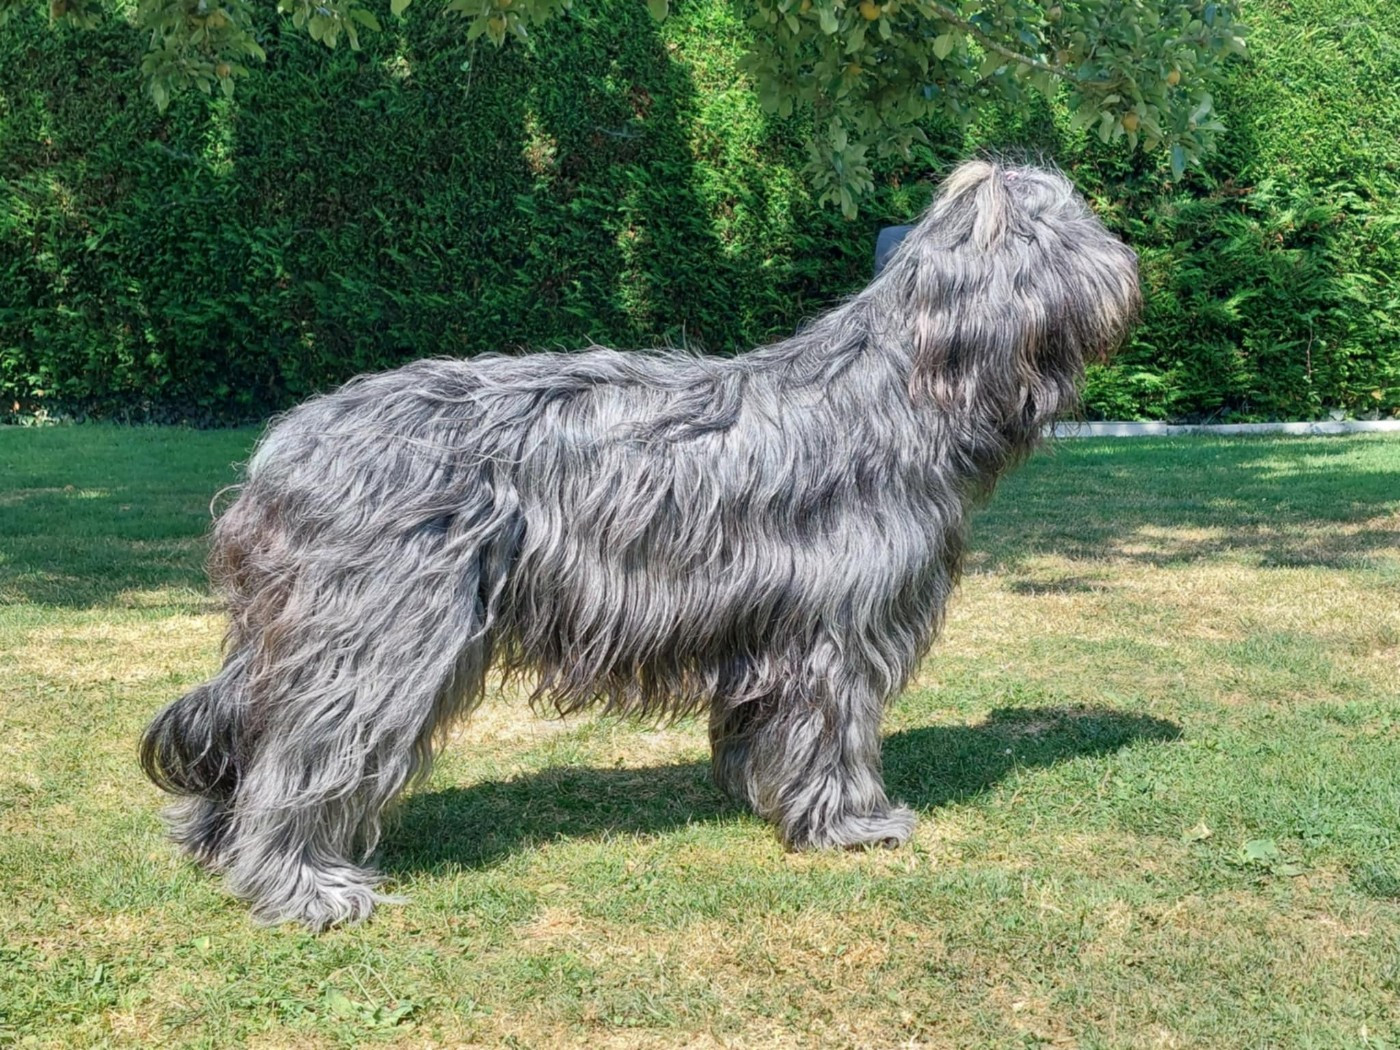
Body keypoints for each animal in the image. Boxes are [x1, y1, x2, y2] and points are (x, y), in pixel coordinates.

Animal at [140, 160, 1140, 929]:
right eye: (1074, 224)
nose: (1133, 268)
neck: (901, 389)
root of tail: (285, 450)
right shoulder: (840, 626)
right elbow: (835, 730)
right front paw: (854, 824)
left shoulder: (766, 625)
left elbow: (758, 727)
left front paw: (759, 796)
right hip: (381, 630)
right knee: (310, 749)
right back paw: (305, 886)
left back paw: (217, 841)